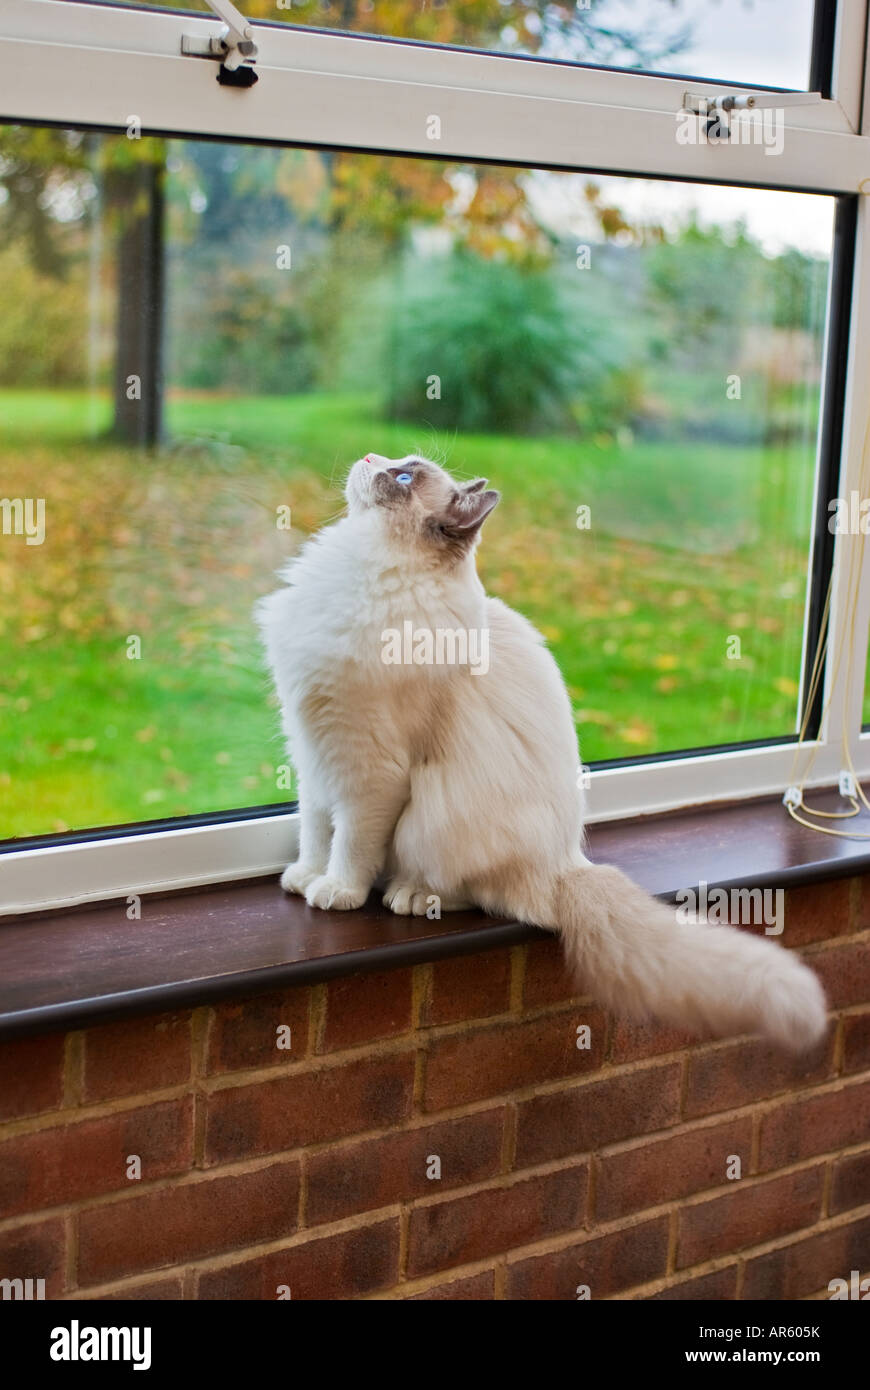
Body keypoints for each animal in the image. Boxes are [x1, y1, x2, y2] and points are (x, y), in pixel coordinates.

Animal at [254, 450, 822, 1045]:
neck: (360, 573)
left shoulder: (367, 772)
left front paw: (335, 892)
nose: (368, 457)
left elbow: (350, 846)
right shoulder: (316, 755)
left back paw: (409, 896)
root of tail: (568, 866)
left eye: (405, 475)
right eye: (396, 463)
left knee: (478, 895)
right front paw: (304, 877)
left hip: (430, 823)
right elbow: (315, 832)